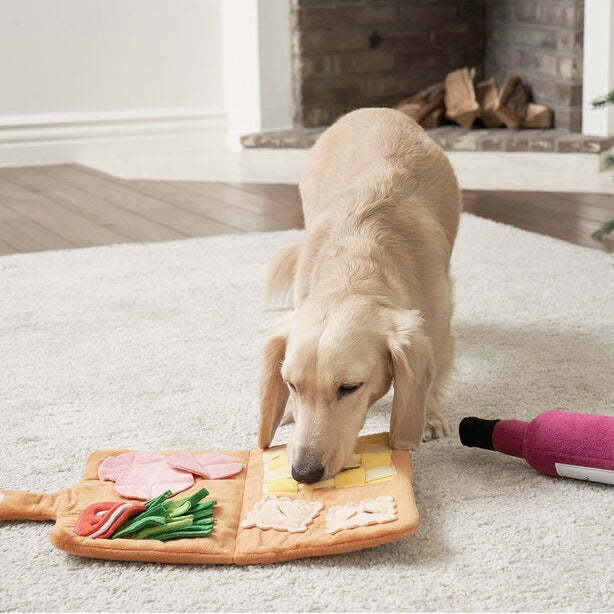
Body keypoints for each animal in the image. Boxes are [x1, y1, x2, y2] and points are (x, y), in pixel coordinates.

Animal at [258, 109, 462, 486]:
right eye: (291, 385)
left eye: (349, 388)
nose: (304, 473)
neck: (355, 270)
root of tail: (373, 110)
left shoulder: (437, 330)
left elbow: (431, 376)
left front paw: (427, 417)